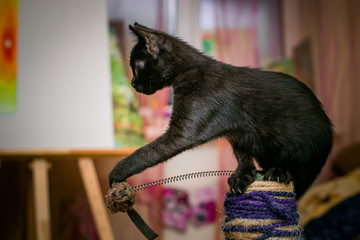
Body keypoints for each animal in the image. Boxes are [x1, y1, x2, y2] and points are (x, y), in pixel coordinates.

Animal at [108, 23, 334, 199]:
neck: (190, 70)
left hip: (303, 146)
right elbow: (242, 155)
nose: (132, 83)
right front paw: (243, 174)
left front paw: (117, 171)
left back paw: (279, 171)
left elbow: (147, 152)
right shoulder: (238, 135)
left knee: (298, 167)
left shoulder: (182, 133)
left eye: (136, 68)